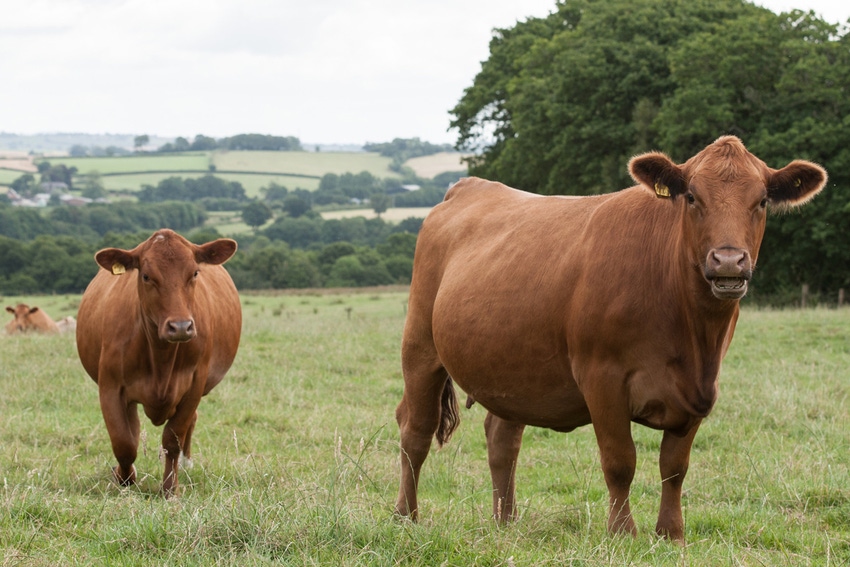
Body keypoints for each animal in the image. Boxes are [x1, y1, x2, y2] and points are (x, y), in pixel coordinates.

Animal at [76, 230, 242, 496]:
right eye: (146, 276)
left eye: (195, 273)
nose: (181, 326)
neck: (160, 358)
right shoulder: (110, 388)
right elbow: (124, 442)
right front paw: (125, 478)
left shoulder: (193, 387)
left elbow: (172, 440)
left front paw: (169, 488)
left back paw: (186, 464)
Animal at [394, 136, 824, 540]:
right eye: (691, 196)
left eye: (762, 200)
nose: (729, 261)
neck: (692, 336)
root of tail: (469, 186)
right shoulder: (603, 378)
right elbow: (620, 461)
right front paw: (622, 532)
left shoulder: (699, 389)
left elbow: (675, 467)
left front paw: (671, 533)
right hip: (420, 345)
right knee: (415, 431)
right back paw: (406, 518)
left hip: (510, 370)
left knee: (502, 441)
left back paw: (506, 522)